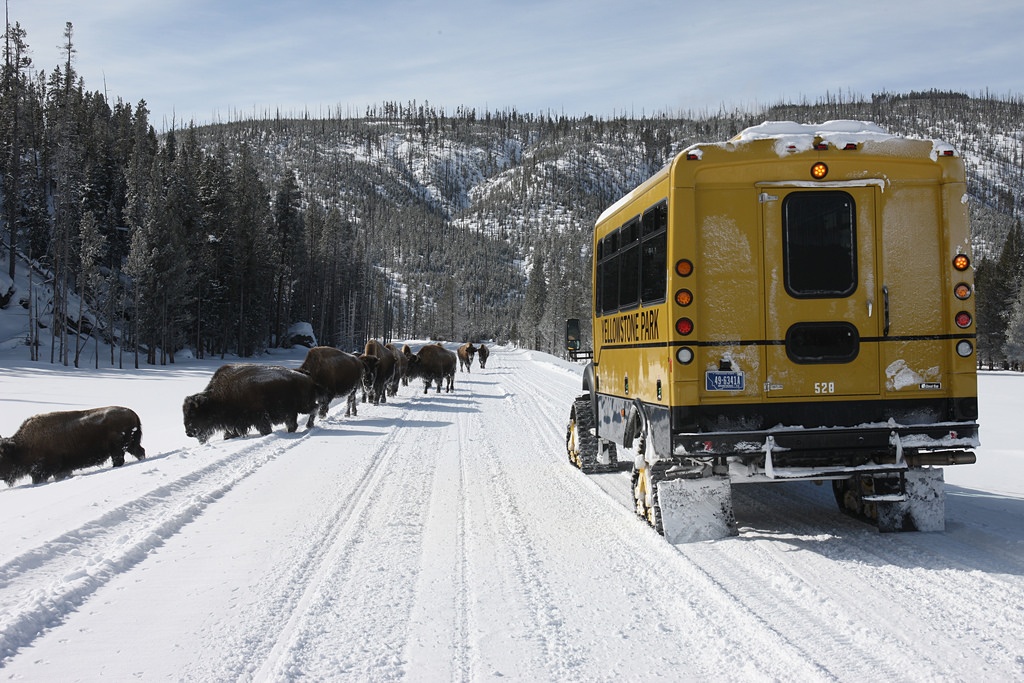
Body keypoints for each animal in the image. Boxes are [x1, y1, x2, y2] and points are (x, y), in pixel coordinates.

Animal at [0, 405, 146, 485]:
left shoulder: (46, 470)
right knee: (140, 452)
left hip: (118, 448)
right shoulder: (61, 470)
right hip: (130, 446)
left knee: (120, 459)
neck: (22, 446)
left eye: (1, 456)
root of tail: (133, 414)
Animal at [183, 362, 323, 444]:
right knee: (295, 423)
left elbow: (265, 429)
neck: (216, 398)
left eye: (193, 413)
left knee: (315, 408)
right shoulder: (235, 422)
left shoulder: (259, 417)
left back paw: (309, 425)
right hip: (294, 411)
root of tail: (308, 378)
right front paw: (228, 437)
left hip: (303, 406)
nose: (188, 433)